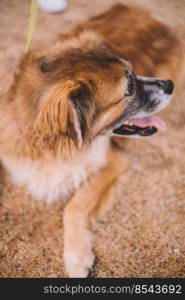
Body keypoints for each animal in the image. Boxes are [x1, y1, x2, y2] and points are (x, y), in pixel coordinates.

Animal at [0, 4, 184, 276]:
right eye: (129, 89)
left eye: (133, 72)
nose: (169, 85)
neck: (54, 148)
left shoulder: (114, 161)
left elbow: (75, 204)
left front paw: (76, 257)